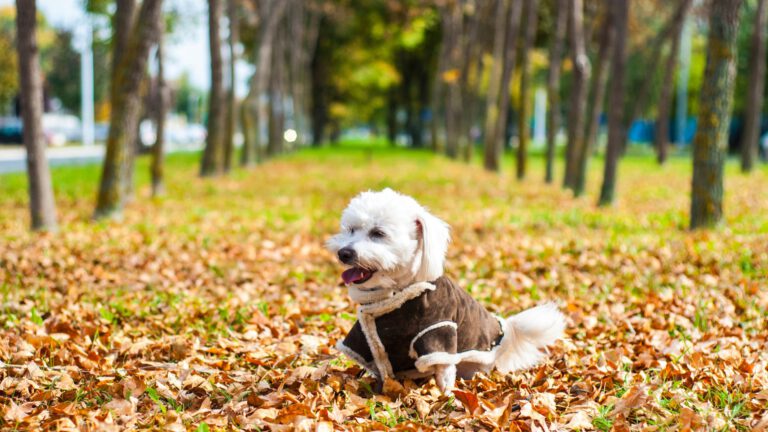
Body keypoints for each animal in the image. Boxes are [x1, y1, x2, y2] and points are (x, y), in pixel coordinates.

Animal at [324, 188, 564, 392]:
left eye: (378, 233)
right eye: (351, 230)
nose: (344, 253)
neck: (397, 293)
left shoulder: (439, 331)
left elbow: (444, 376)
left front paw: (444, 400)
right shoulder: (367, 337)